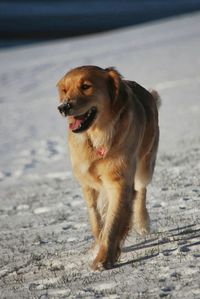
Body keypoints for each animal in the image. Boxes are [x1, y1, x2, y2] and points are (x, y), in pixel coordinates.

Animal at [57, 66, 160, 272]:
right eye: (64, 90)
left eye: (86, 86)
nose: (63, 107)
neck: (96, 137)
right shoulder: (87, 184)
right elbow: (96, 219)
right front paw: (98, 246)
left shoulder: (119, 182)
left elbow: (112, 225)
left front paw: (103, 259)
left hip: (145, 165)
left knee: (141, 190)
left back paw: (143, 222)